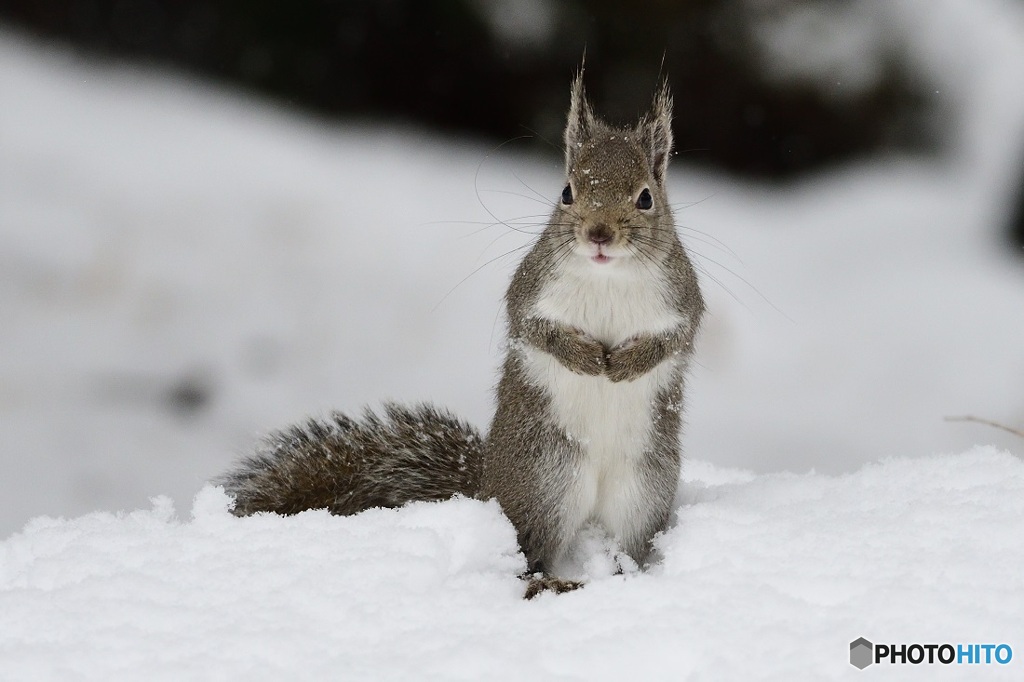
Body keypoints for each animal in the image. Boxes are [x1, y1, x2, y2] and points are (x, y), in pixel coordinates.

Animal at [218, 73, 704, 593]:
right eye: (567, 192)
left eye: (646, 197)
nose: (598, 234)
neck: (608, 275)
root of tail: (488, 485)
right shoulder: (530, 289)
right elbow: (534, 329)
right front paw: (586, 358)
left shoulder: (683, 300)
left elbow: (676, 338)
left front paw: (627, 364)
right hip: (545, 478)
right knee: (529, 550)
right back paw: (551, 580)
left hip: (641, 494)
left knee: (622, 545)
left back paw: (618, 577)